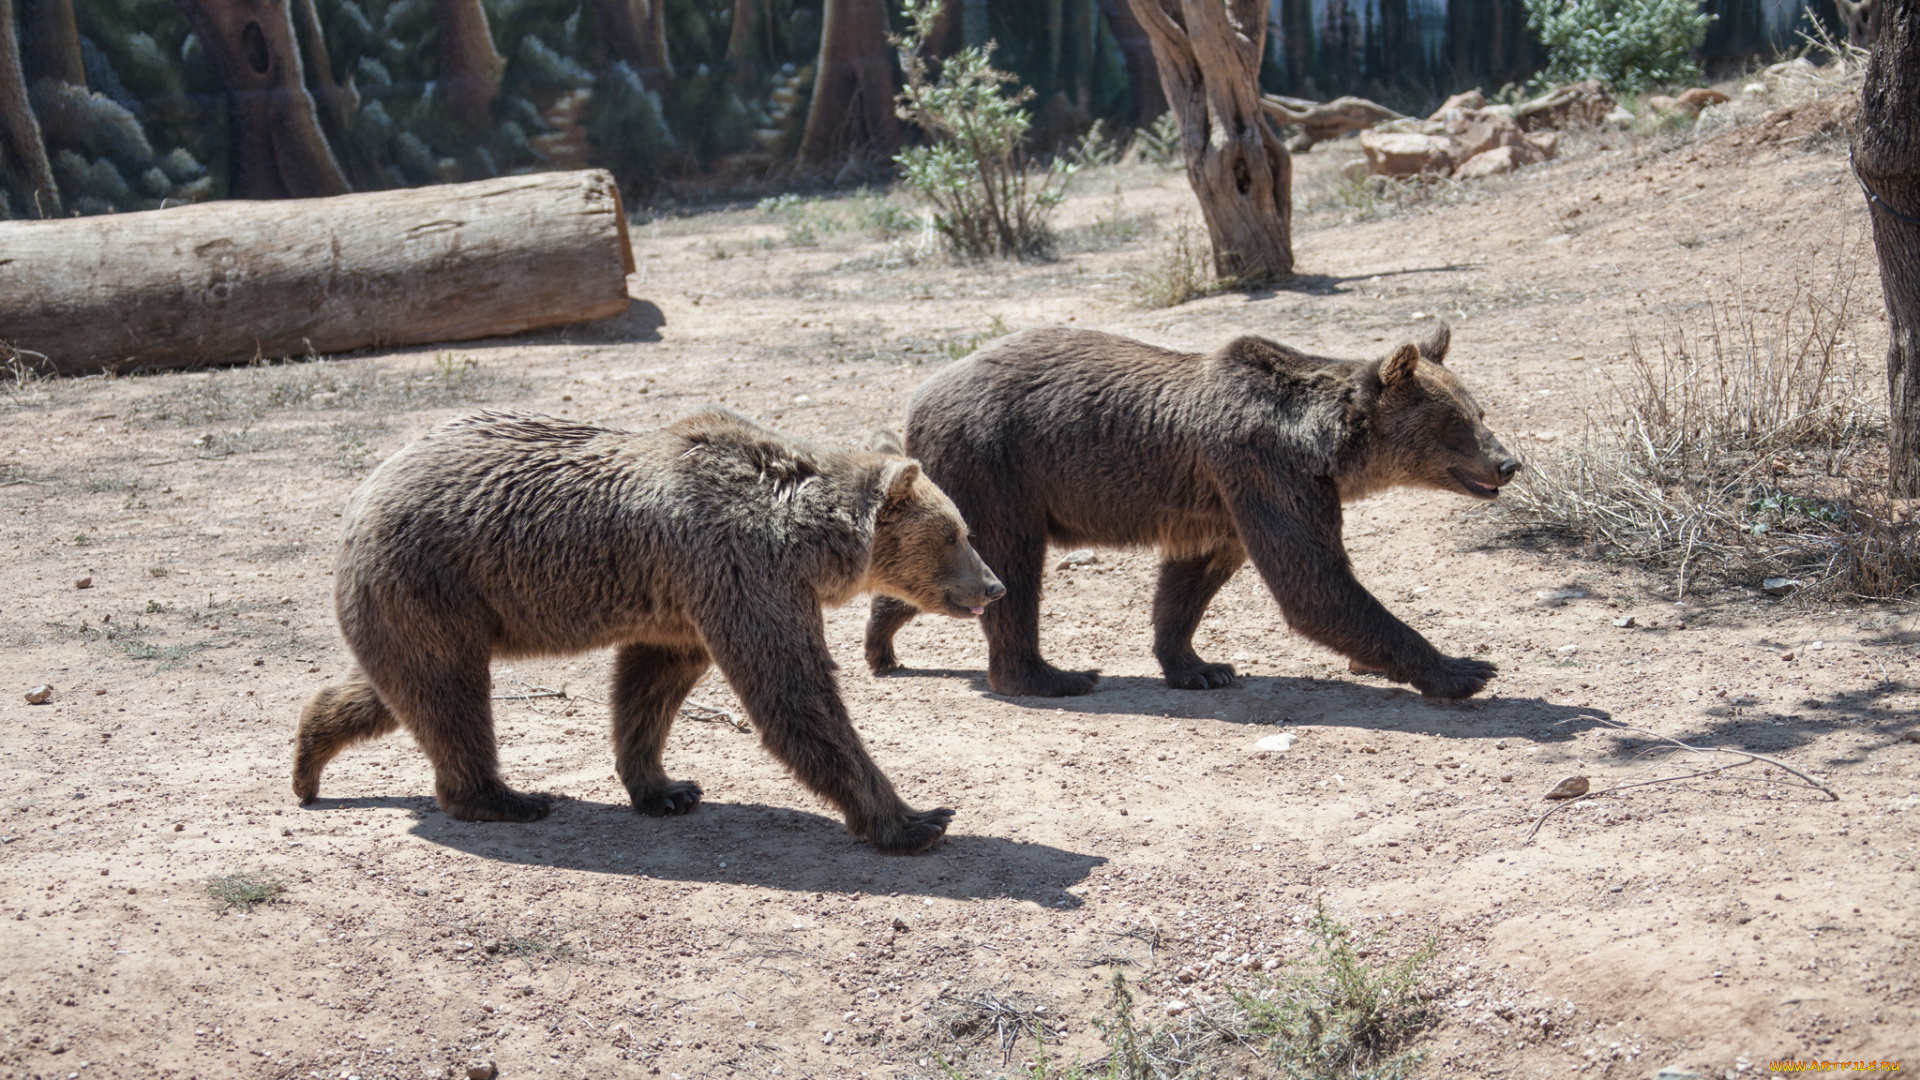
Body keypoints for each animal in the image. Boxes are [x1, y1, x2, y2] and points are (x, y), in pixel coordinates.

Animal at [295, 407, 1006, 853]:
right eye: (957, 532)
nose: (994, 586)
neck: (804, 542)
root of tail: (362, 493)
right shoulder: (738, 569)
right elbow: (793, 693)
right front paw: (917, 819)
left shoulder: (682, 600)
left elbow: (650, 685)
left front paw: (666, 788)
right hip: (434, 580)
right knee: (449, 694)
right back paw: (505, 798)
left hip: (426, 601)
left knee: (397, 688)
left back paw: (308, 760)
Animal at [867, 322, 1512, 699]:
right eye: (1456, 423)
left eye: (1479, 411)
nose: (1508, 463)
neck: (1324, 448)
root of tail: (919, 395)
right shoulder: (1263, 469)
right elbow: (1313, 581)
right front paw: (1464, 668)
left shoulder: (1221, 503)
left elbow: (1189, 582)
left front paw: (1199, 665)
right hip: (998, 465)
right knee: (1012, 566)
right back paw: (1049, 675)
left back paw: (881, 644)